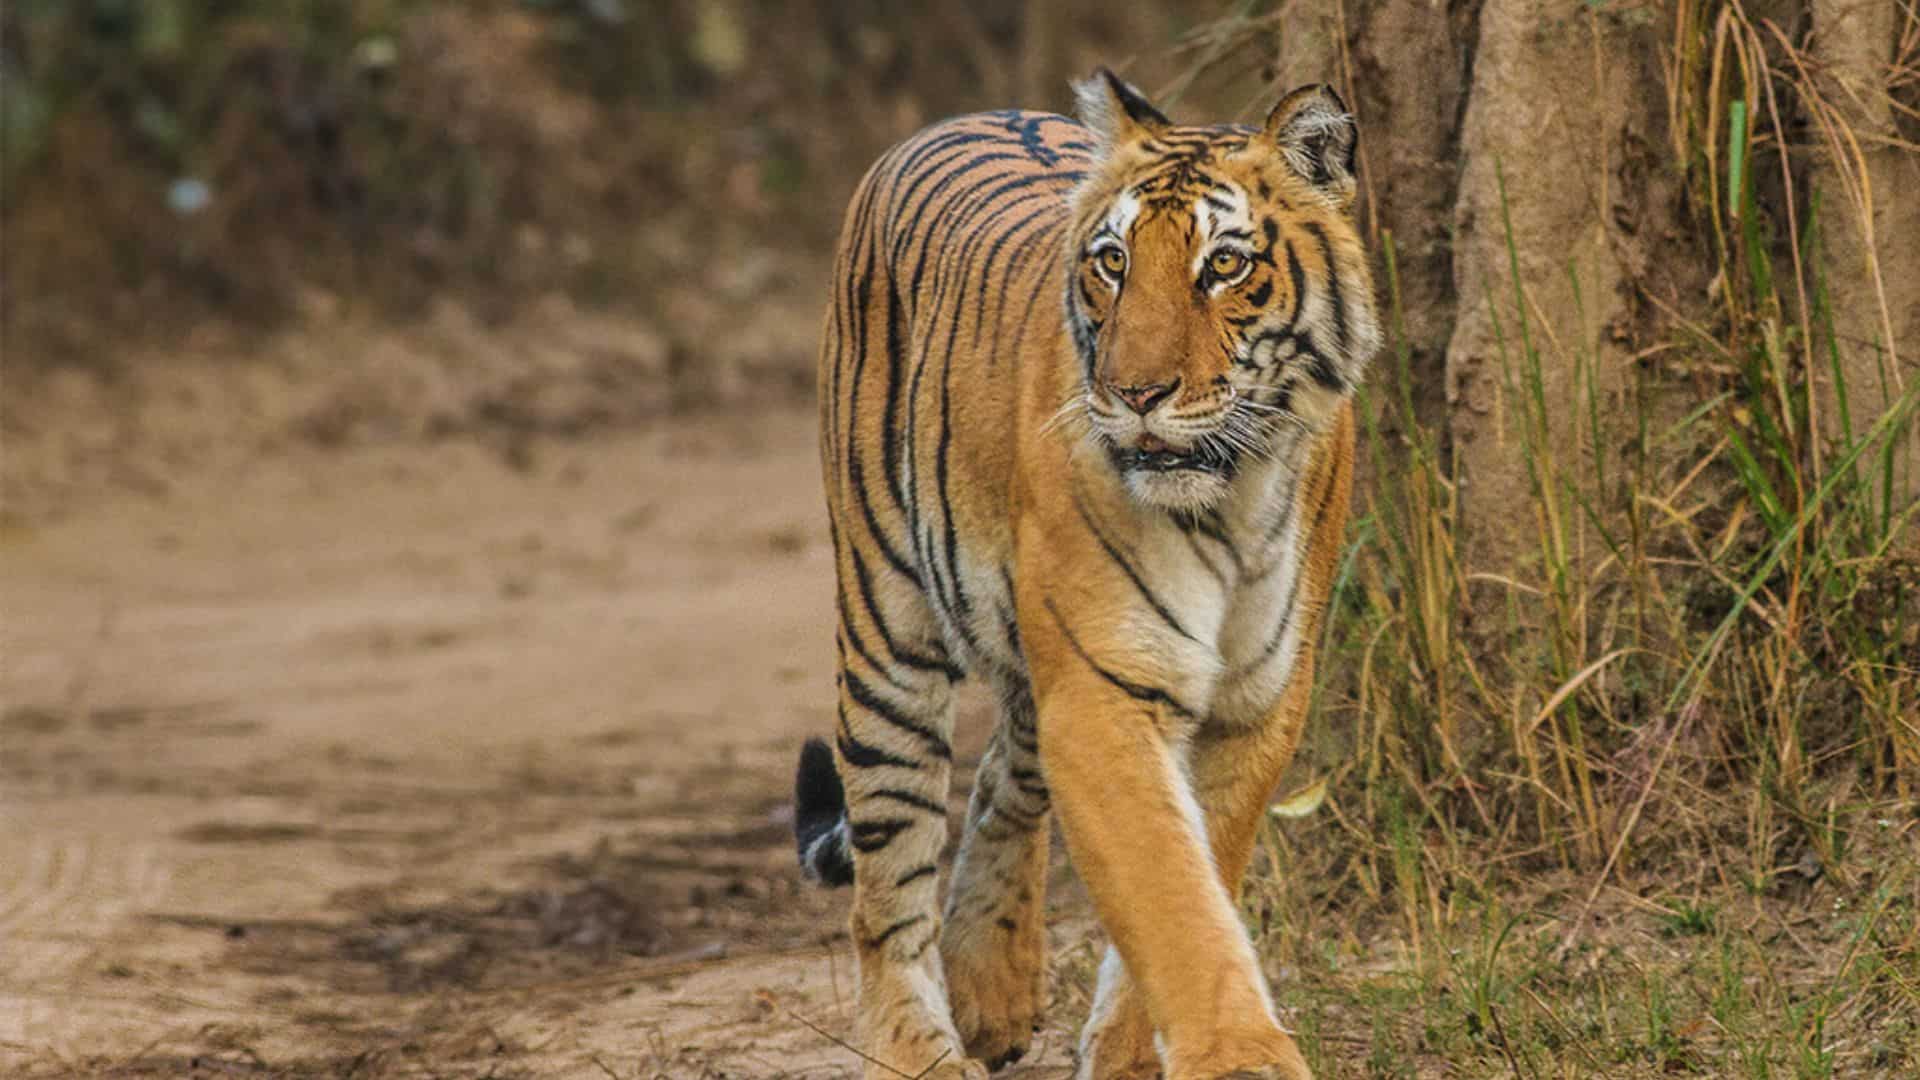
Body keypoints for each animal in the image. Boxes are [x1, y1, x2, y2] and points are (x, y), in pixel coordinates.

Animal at [791, 68, 1379, 1080]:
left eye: (1224, 266)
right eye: (1113, 262)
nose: (1135, 393)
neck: (1233, 498)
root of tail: (959, 116)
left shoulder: (1258, 700)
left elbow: (1200, 872)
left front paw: (1131, 1054)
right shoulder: (1105, 692)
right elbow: (1171, 895)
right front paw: (1239, 1057)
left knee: (1000, 777)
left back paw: (990, 990)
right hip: (885, 626)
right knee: (887, 880)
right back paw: (918, 1046)